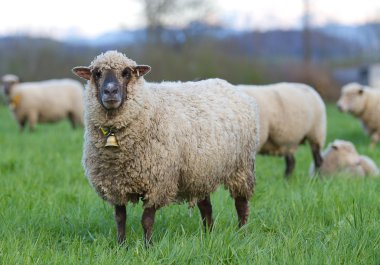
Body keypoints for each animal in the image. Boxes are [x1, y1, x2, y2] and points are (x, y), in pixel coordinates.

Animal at [72, 51, 260, 245]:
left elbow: (146, 220)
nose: (110, 91)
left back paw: (242, 233)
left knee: (241, 204)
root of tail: (230, 86)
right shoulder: (115, 184)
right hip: (200, 171)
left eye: (126, 73)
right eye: (97, 74)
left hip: (241, 168)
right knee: (206, 207)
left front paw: (148, 246)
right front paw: (121, 245)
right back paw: (208, 235)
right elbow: (120, 218)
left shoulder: (157, 182)